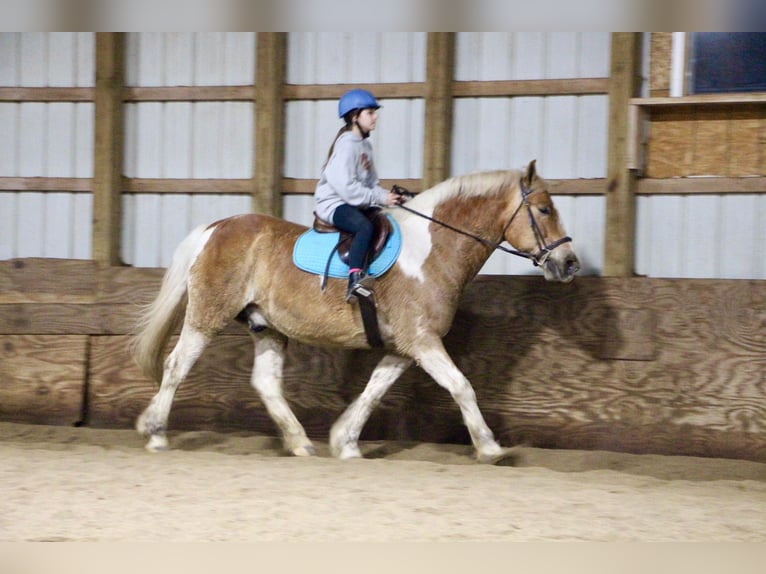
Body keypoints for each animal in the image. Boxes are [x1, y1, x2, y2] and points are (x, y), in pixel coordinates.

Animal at [132, 161, 580, 464]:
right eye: (544, 210)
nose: (570, 263)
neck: (433, 251)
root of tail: (217, 227)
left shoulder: (404, 348)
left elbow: (373, 391)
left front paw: (344, 442)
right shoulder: (423, 341)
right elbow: (461, 386)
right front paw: (489, 447)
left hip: (268, 327)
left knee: (266, 383)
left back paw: (300, 442)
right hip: (207, 317)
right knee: (176, 365)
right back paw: (155, 433)